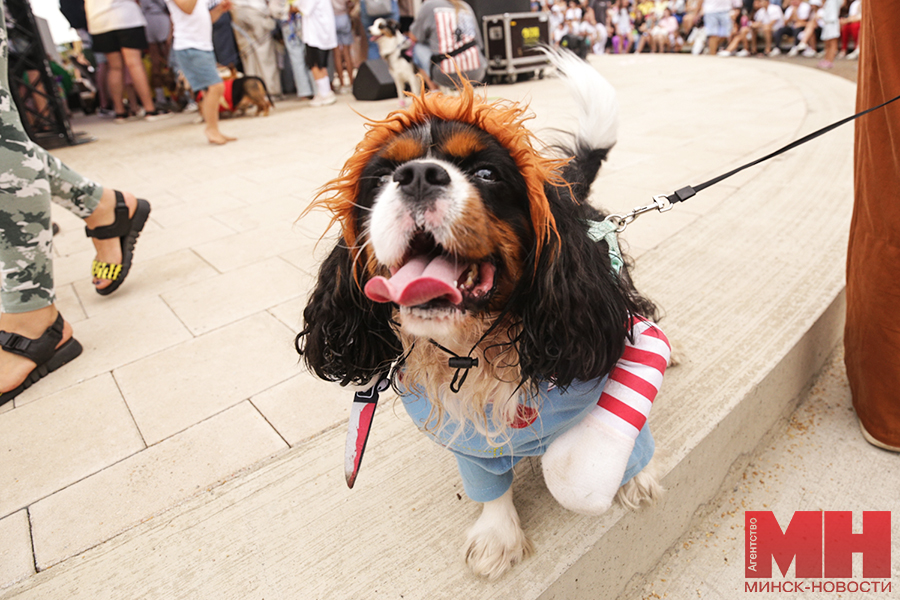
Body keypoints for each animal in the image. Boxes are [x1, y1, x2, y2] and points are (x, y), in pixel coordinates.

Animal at [300, 50, 668, 576]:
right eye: (383, 176)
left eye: (488, 173)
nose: (417, 175)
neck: (474, 343)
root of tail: (568, 187)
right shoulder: (470, 441)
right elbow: (489, 487)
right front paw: (498, 538)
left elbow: (627, 438)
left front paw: (634, 480)